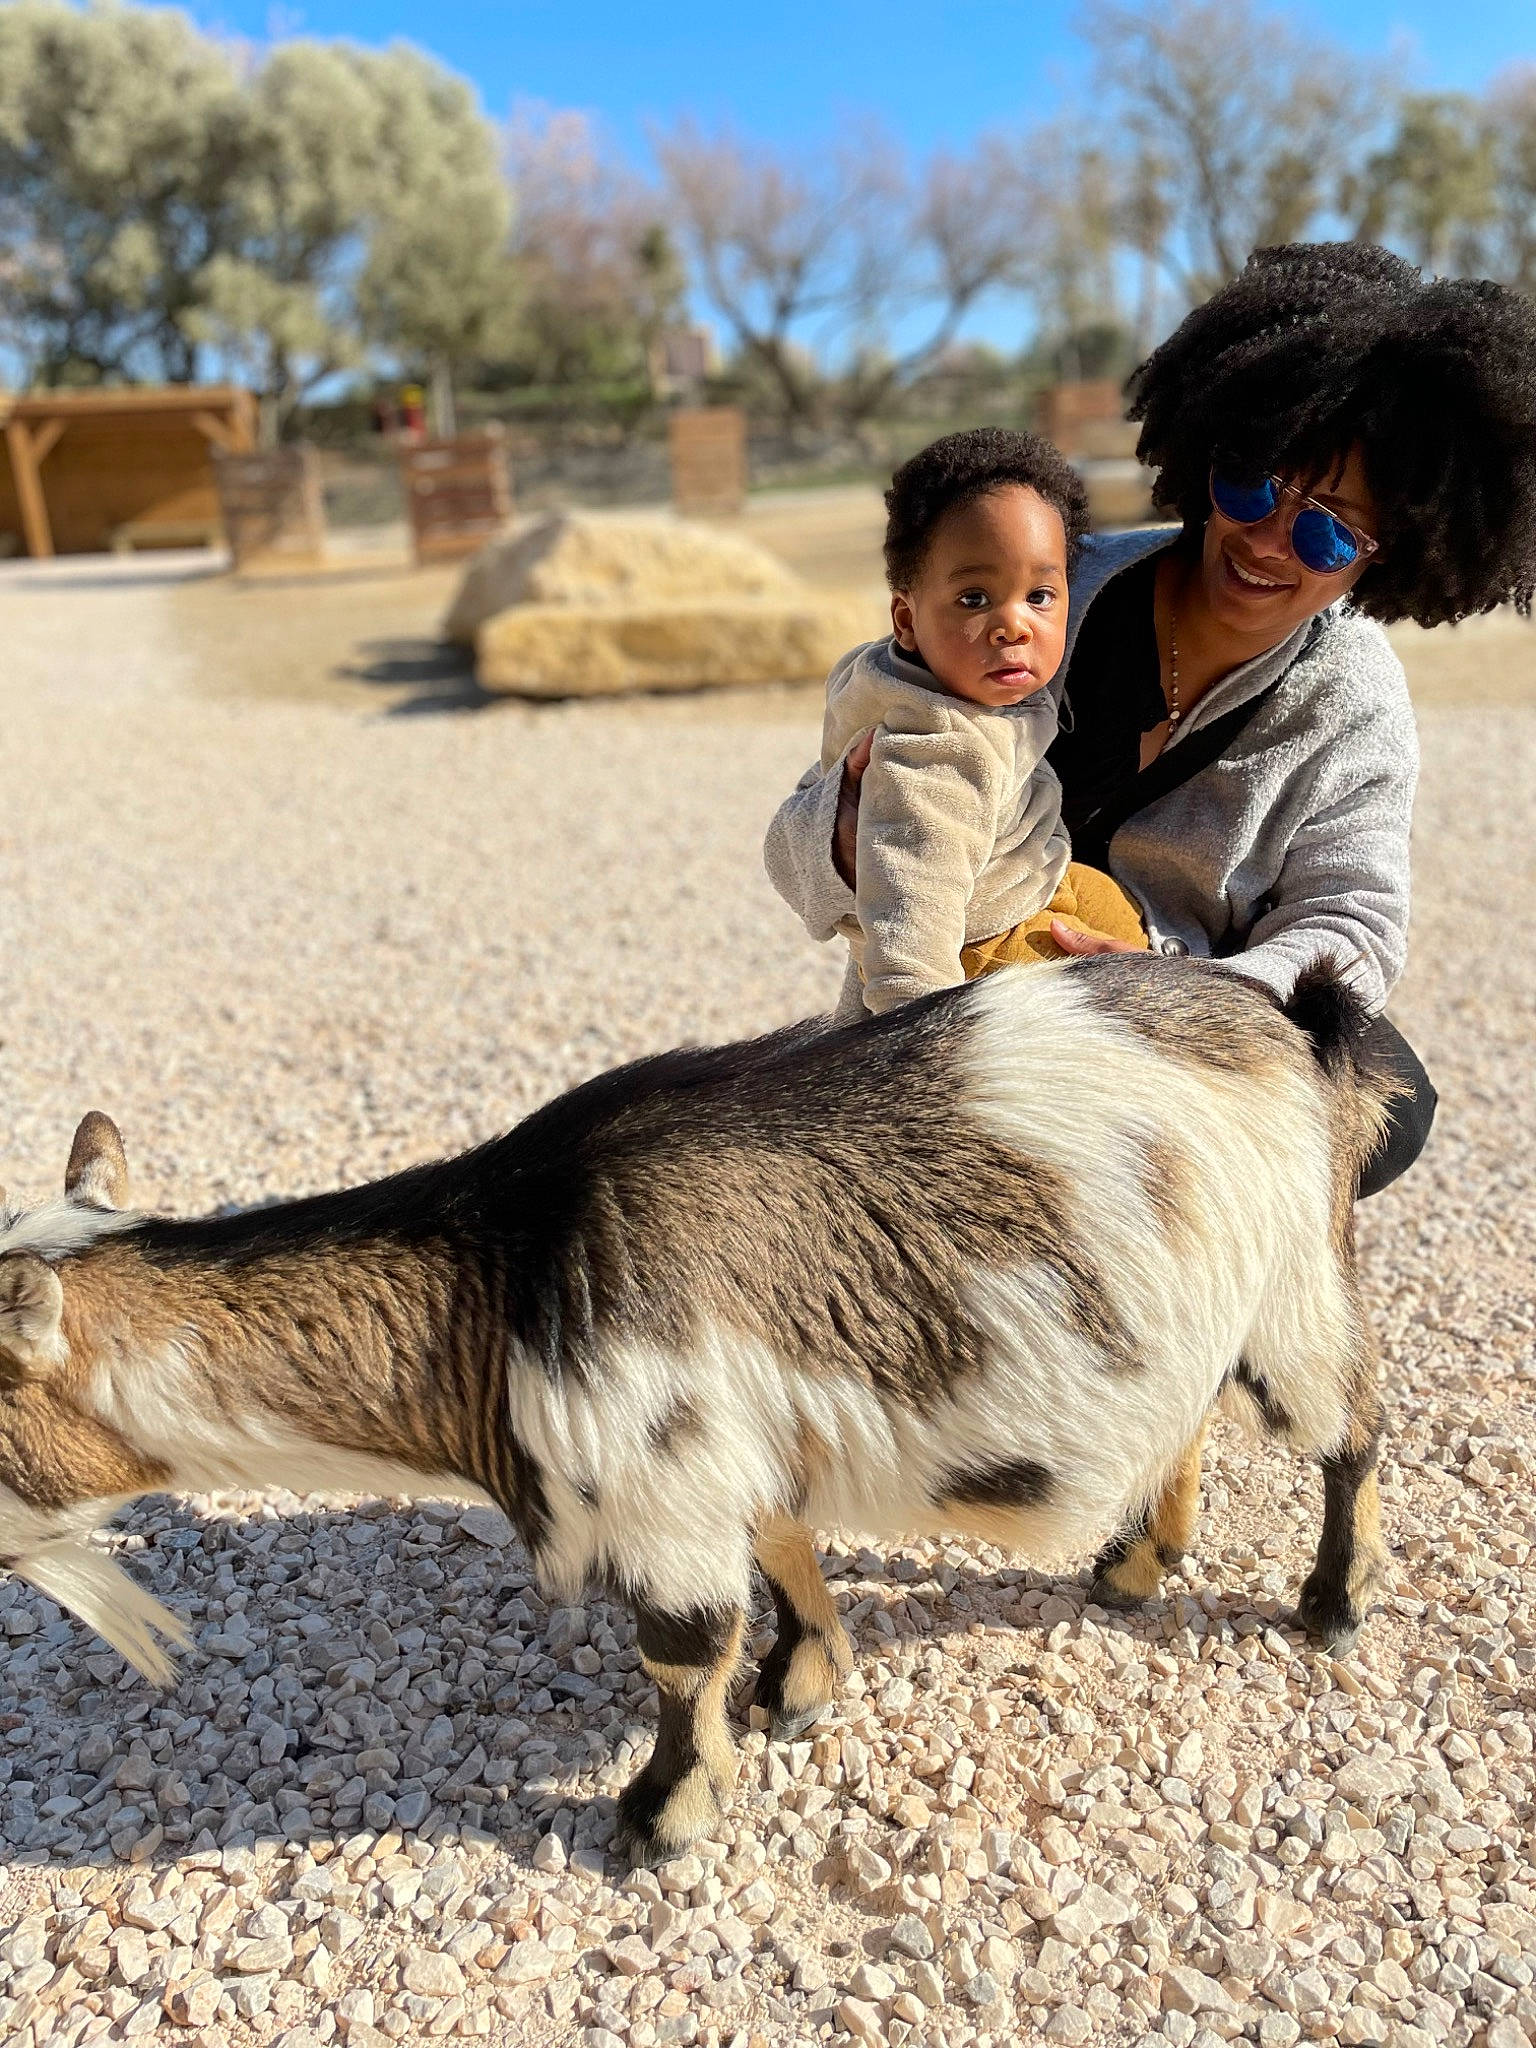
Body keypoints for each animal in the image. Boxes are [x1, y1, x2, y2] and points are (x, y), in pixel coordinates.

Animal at [0, 955, 1395, 1866]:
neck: (503, 1275)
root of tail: (1298, 1021)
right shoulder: (734, 1453)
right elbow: (781, 1551)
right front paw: (804, 1677)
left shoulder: (661, 1485)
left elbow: (679, 1655)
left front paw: (664, 1814)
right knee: (1192, 1411)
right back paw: (1137, 1563)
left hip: (1295, 1285)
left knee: (1347, 1429)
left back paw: (1333, 1602)